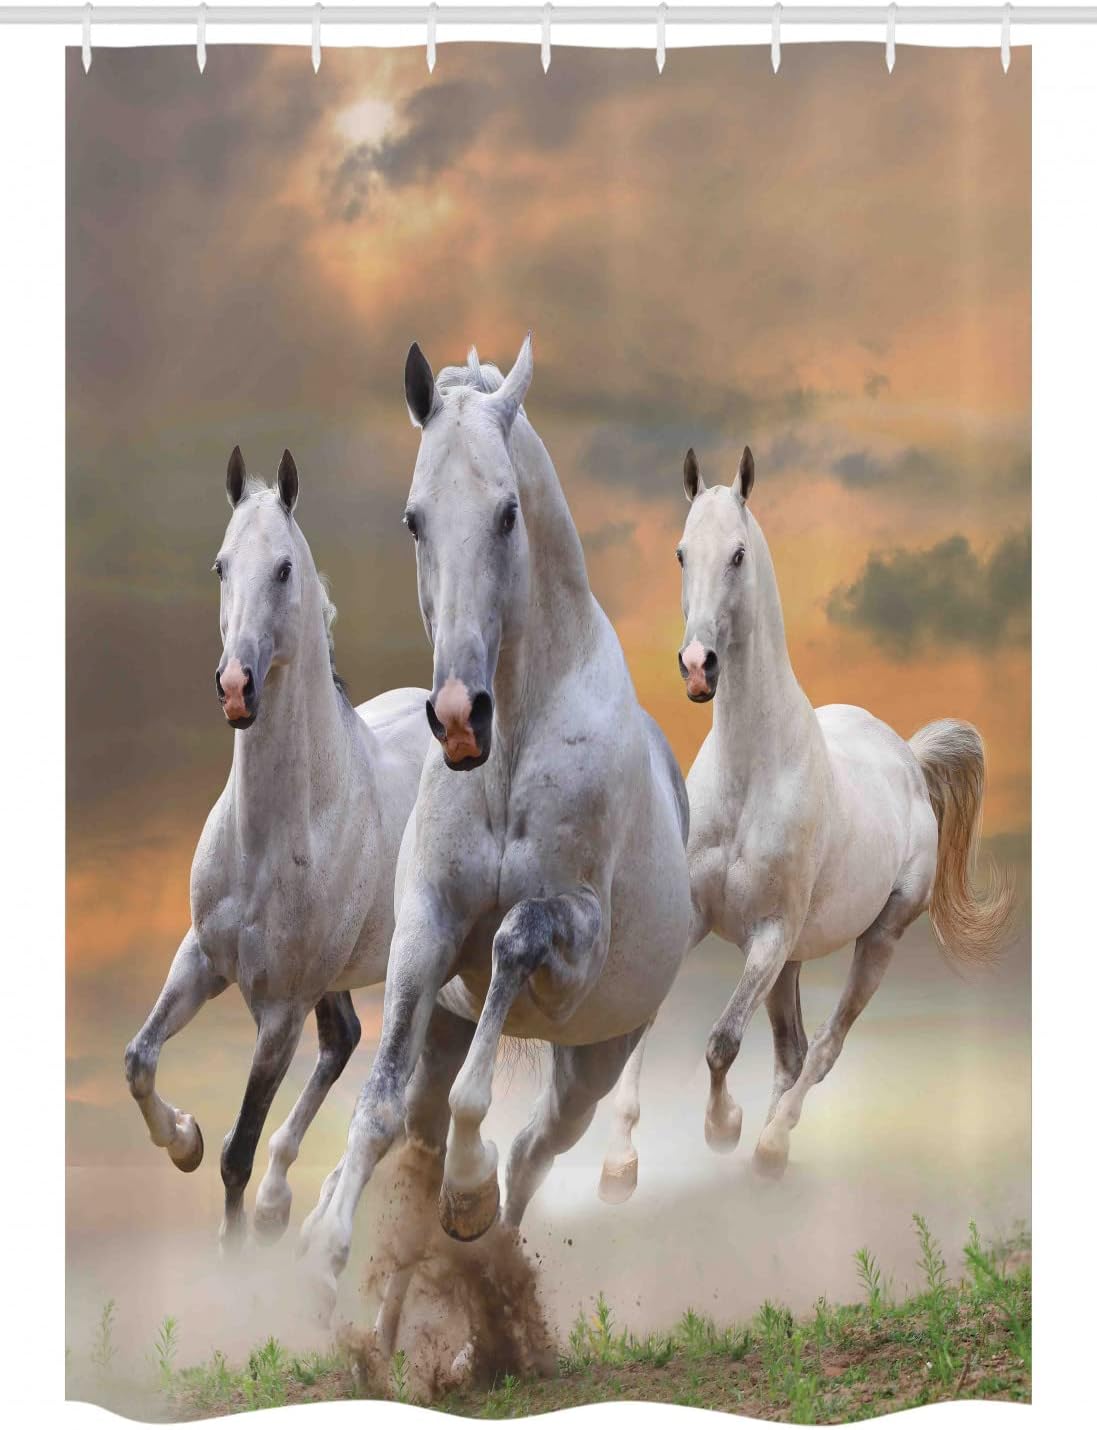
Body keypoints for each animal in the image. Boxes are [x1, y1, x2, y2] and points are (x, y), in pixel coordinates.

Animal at [123, 447, 432, 1248]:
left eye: (285, 569)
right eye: (220, 565)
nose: (236, 687)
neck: (272, 835)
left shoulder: (279, 1012)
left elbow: (236, 1149)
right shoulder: (201, 959)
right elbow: (139, 1060)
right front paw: (183, 1140)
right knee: (346, 1039)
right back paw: (277, 1203)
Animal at [298, 337, 692, 1339]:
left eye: (508, 512)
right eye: (412, 519)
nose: (456, 717)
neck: (512, 747)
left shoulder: (571, 937)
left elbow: (513, 944)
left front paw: (465, 1198)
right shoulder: (425, 932)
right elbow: (378, 1106)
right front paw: (325, 1261)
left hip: (594, 1060)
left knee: (530, 1156)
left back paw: (489, 1270)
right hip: (450, 1024)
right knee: (423, 1130)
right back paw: (384, 1329)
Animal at [601, 443, 1014, 1189]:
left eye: (737, 554)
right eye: (680, 552)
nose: (697, 666)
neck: (749, 775)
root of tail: (908, 761)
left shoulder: (767, 934)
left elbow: (721, 1041)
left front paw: (722, 1127)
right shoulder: (700, 920)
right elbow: (646, 1023)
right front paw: (619, 1162)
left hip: (875, 940)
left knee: (823, 1048)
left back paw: (769, 1142)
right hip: (792, 959)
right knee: (793, 1049)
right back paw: (770, 1147)